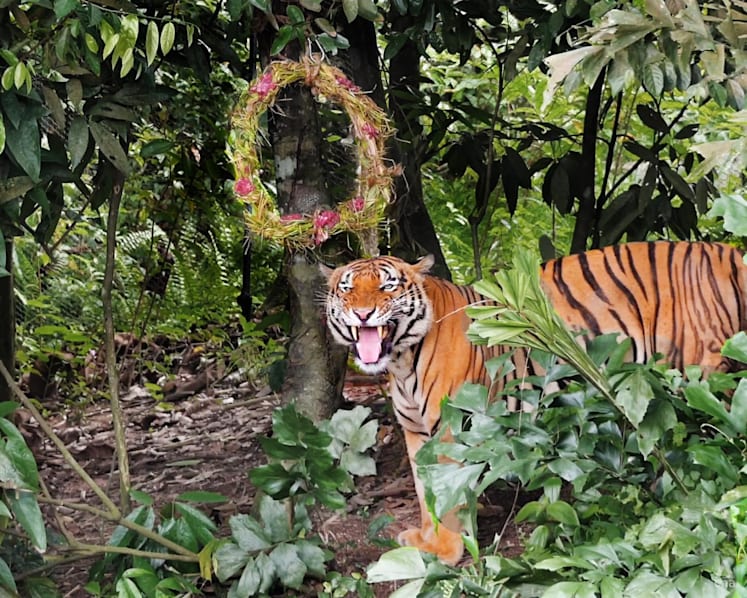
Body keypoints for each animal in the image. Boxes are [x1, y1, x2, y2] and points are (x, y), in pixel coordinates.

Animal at [321, 241, 747, 565]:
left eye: (387, 288)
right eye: (347, 289)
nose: (362, 313)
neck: (401, 360)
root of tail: (727, 250)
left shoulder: (450, 428)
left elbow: (446, 492)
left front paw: (446, 551)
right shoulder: (415, 431)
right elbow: (426, 492)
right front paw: (428, 540)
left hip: (703, 374)